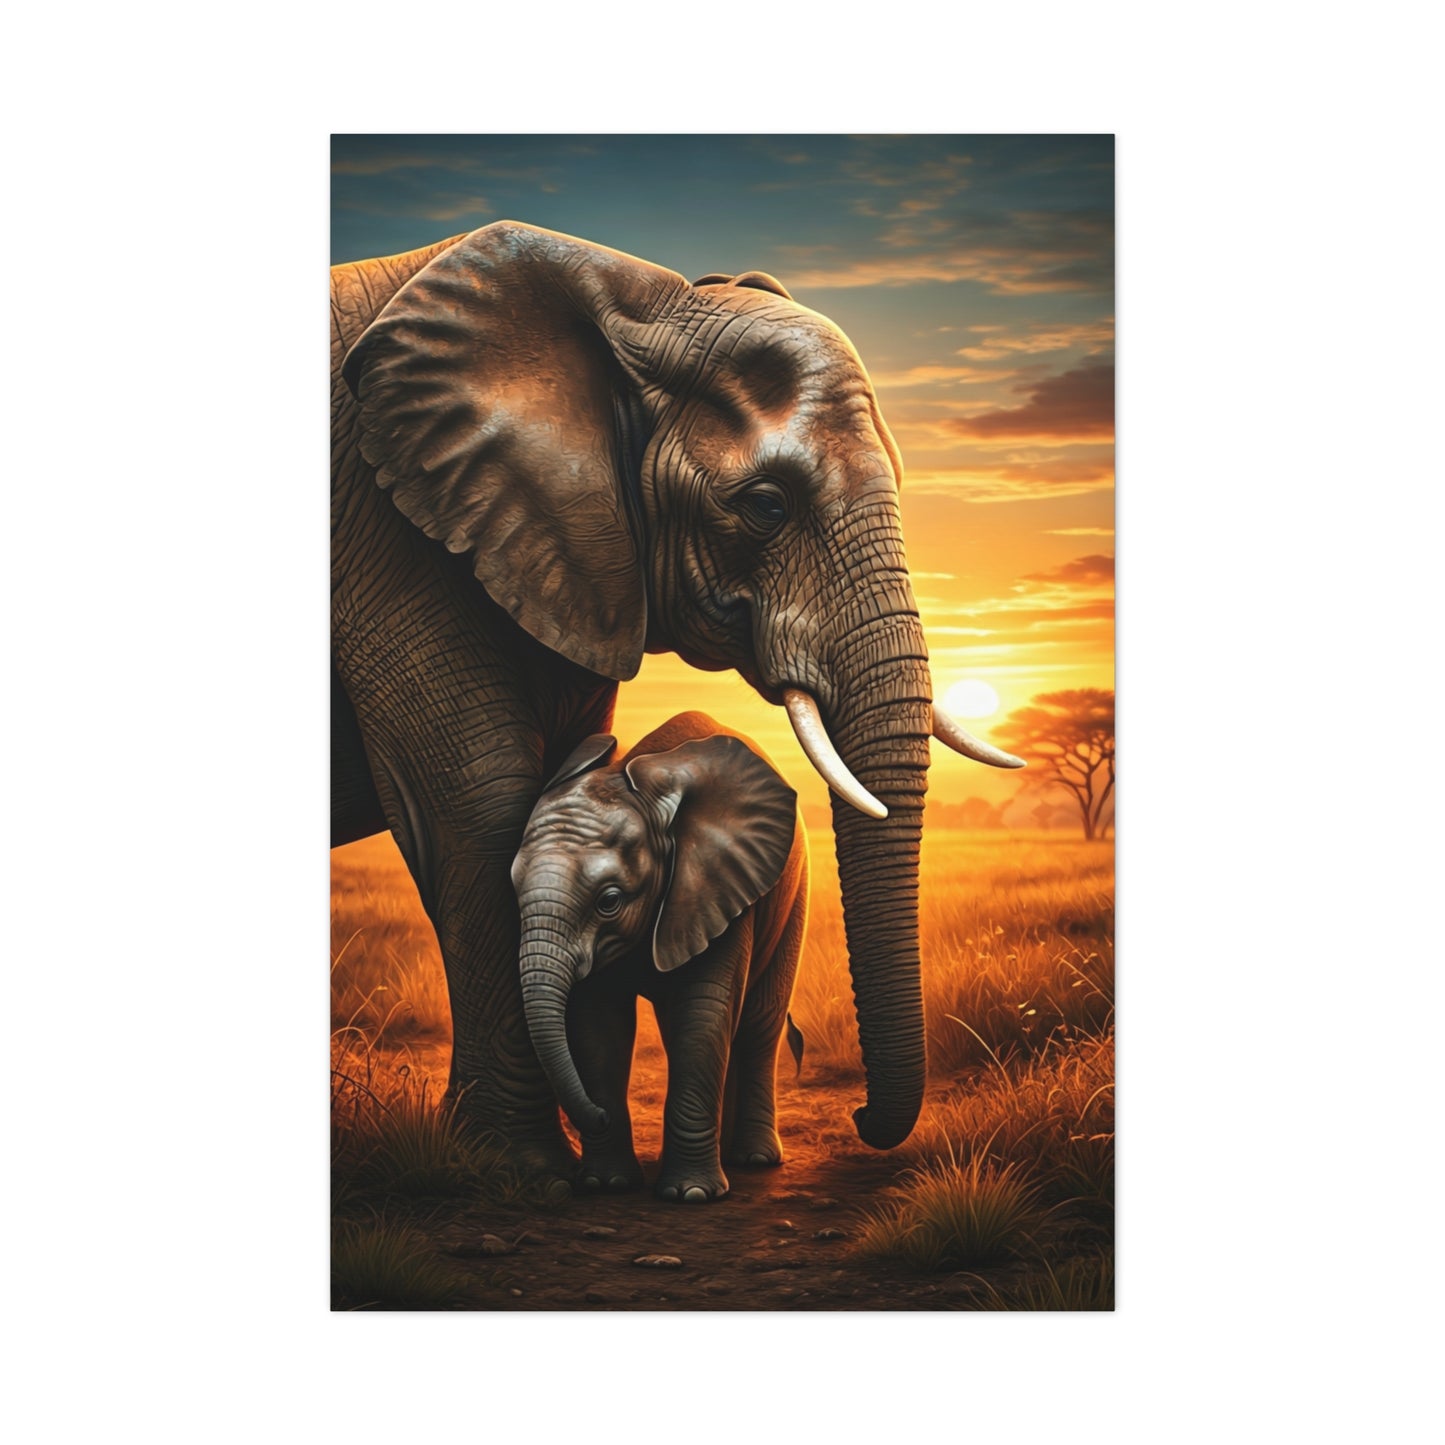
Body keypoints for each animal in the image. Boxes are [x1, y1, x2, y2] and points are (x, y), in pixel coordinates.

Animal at [510, 712, 809, 1203]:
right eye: (514, 888)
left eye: (609, 901)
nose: (596, 1115)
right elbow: (599, 1023)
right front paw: (606, 1183)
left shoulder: (717, 888)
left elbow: (702, 1015)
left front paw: (692, 1195)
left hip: (794, 895)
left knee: (758, 1024)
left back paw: (754, 1159)